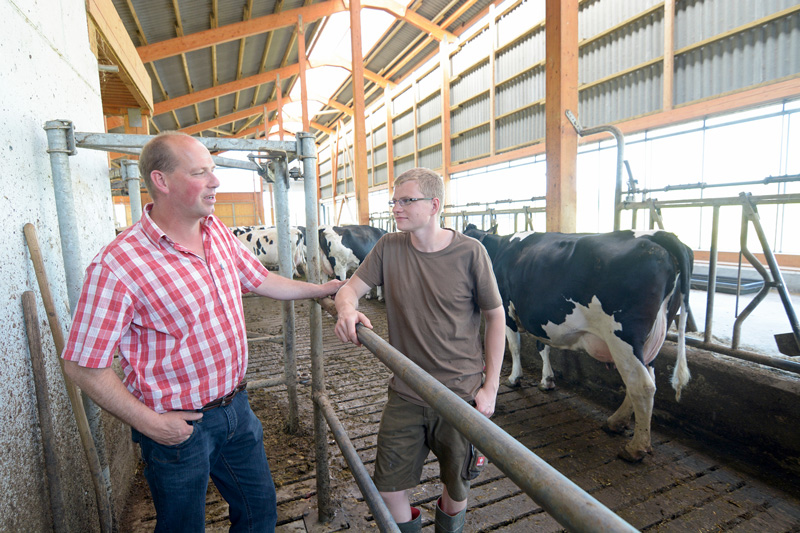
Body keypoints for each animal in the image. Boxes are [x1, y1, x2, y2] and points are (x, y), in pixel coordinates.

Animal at [462, 222, 692, 460]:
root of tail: (659, 235)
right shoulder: (540, 320)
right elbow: (542, 346)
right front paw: (547, 380)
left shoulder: (507, 310)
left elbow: (514, 346)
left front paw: (515, 377)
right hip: (653, 338)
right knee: (645, 378)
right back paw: (616, 422)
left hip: (624, 337)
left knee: (642, 385)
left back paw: (635, 447)